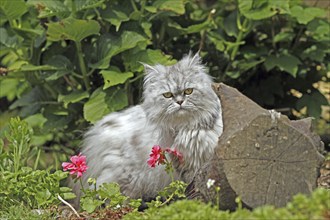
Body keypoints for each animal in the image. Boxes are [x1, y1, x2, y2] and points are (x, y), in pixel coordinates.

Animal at [76, 52, 223, 201]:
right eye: (168, 95)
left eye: (189, 91)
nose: (180, 102)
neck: (186, 127)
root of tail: (94, 139)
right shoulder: (186, 165)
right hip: (125, 181)